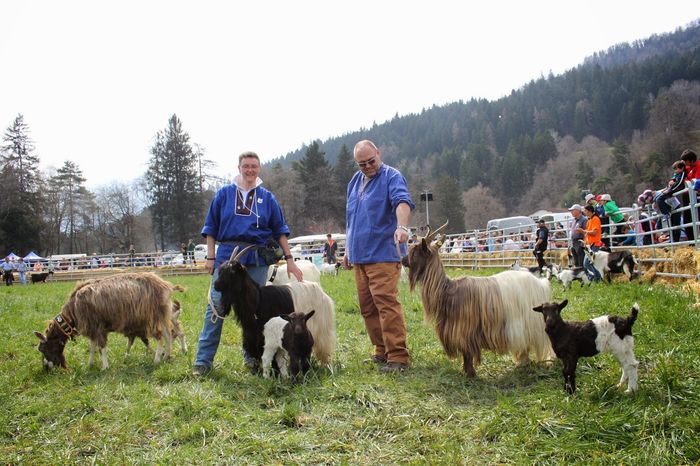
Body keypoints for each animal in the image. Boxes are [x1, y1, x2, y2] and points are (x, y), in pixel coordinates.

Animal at [34, 272, 185, 370]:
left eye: (44, 348)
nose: (47, 367)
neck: (73, 309)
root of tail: (166, 286)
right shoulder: (93, 330)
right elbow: (92, 347)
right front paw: (90, 364)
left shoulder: (98, 327)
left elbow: (101, 347)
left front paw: (105, 367)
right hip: (162, 316)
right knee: (168, 335)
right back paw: (166, 356)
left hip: (152, 318)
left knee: (161, 337)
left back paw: (157, 359)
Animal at [215, 244, 334, 372]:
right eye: (220, 270)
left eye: (232, 271)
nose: (216, 285)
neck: (258, 299)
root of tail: (321, 291)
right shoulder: (251, 333)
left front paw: (275, 371)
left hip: (321, 326)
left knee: (323, 344)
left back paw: (325, 365)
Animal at [402, 220, 556, 376]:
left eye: (414, 251)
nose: (402, 260)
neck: (447, 290)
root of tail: (541, 284)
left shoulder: (465, 331)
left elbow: (467, 354)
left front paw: (470, 373)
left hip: (528, 323)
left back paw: (524, 363)